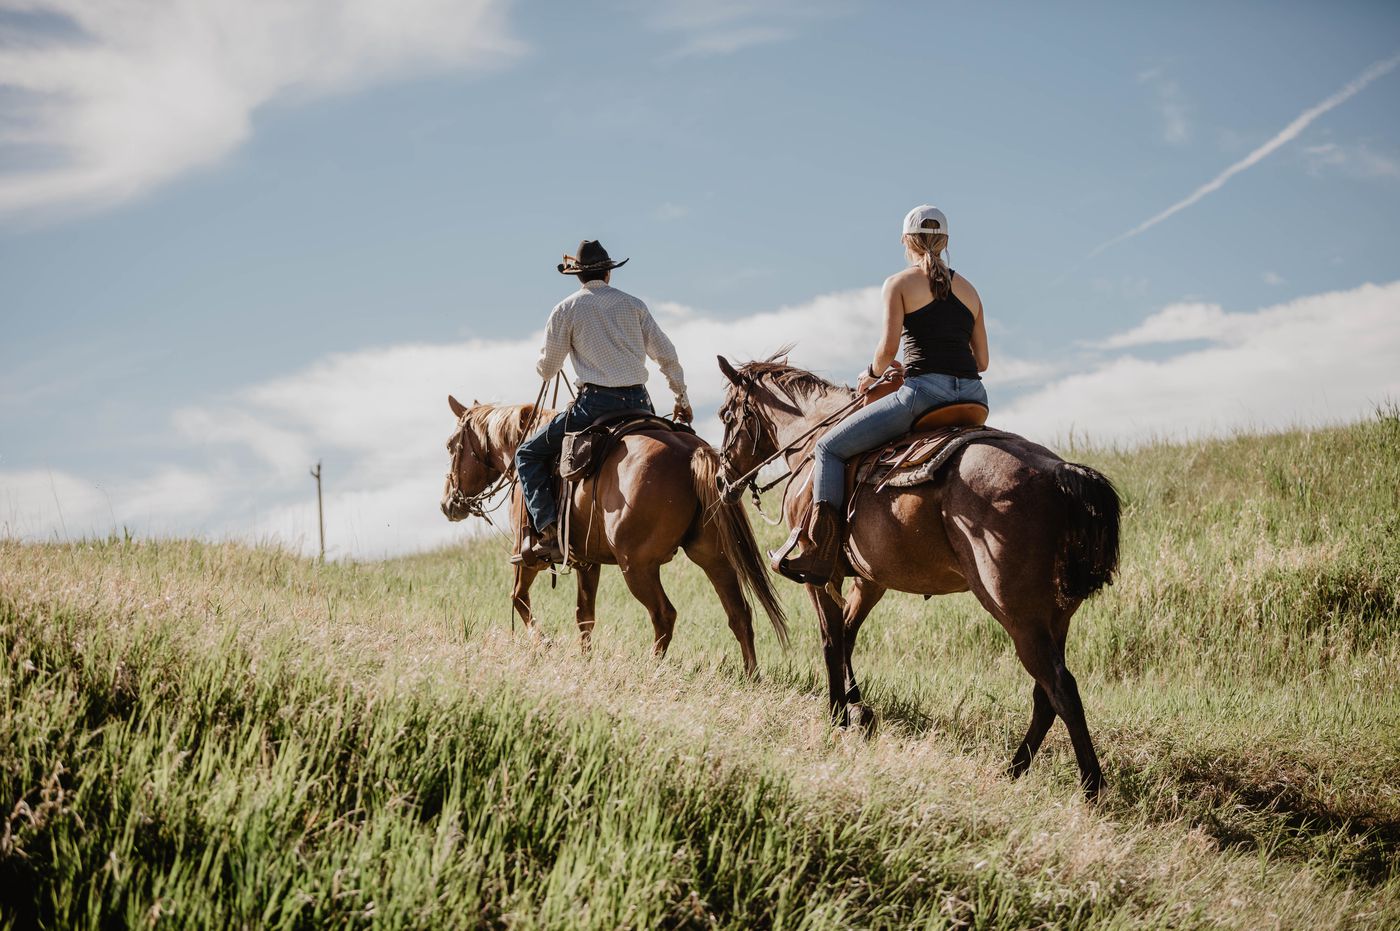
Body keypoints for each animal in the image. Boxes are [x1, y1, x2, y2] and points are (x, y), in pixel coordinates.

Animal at [436, 394, 789, 672]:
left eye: (451, 445)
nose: (448, 504)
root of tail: (691, 452)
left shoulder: (527, 556)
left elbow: (518, 598)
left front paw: (544, 642)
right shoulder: (586, 561)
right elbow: (584, 615)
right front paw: (584, 659)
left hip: (637, 567)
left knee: (664, 615)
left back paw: (651, 667)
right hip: (713, 556)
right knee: (738, 613)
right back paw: (751, 676)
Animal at [716, 352, 1120, 795]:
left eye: (725, 415)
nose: (721, 479)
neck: (812, 441)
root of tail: (1059, 471)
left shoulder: (820, 577)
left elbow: (830, 640)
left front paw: (838, 717)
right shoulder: (869, 580)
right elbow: (848, 636)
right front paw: (860, 710)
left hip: (1018, 614)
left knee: (1060, 688)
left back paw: (1091, 785)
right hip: (1055, 617)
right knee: (1045, 695)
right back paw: (1015, 770)